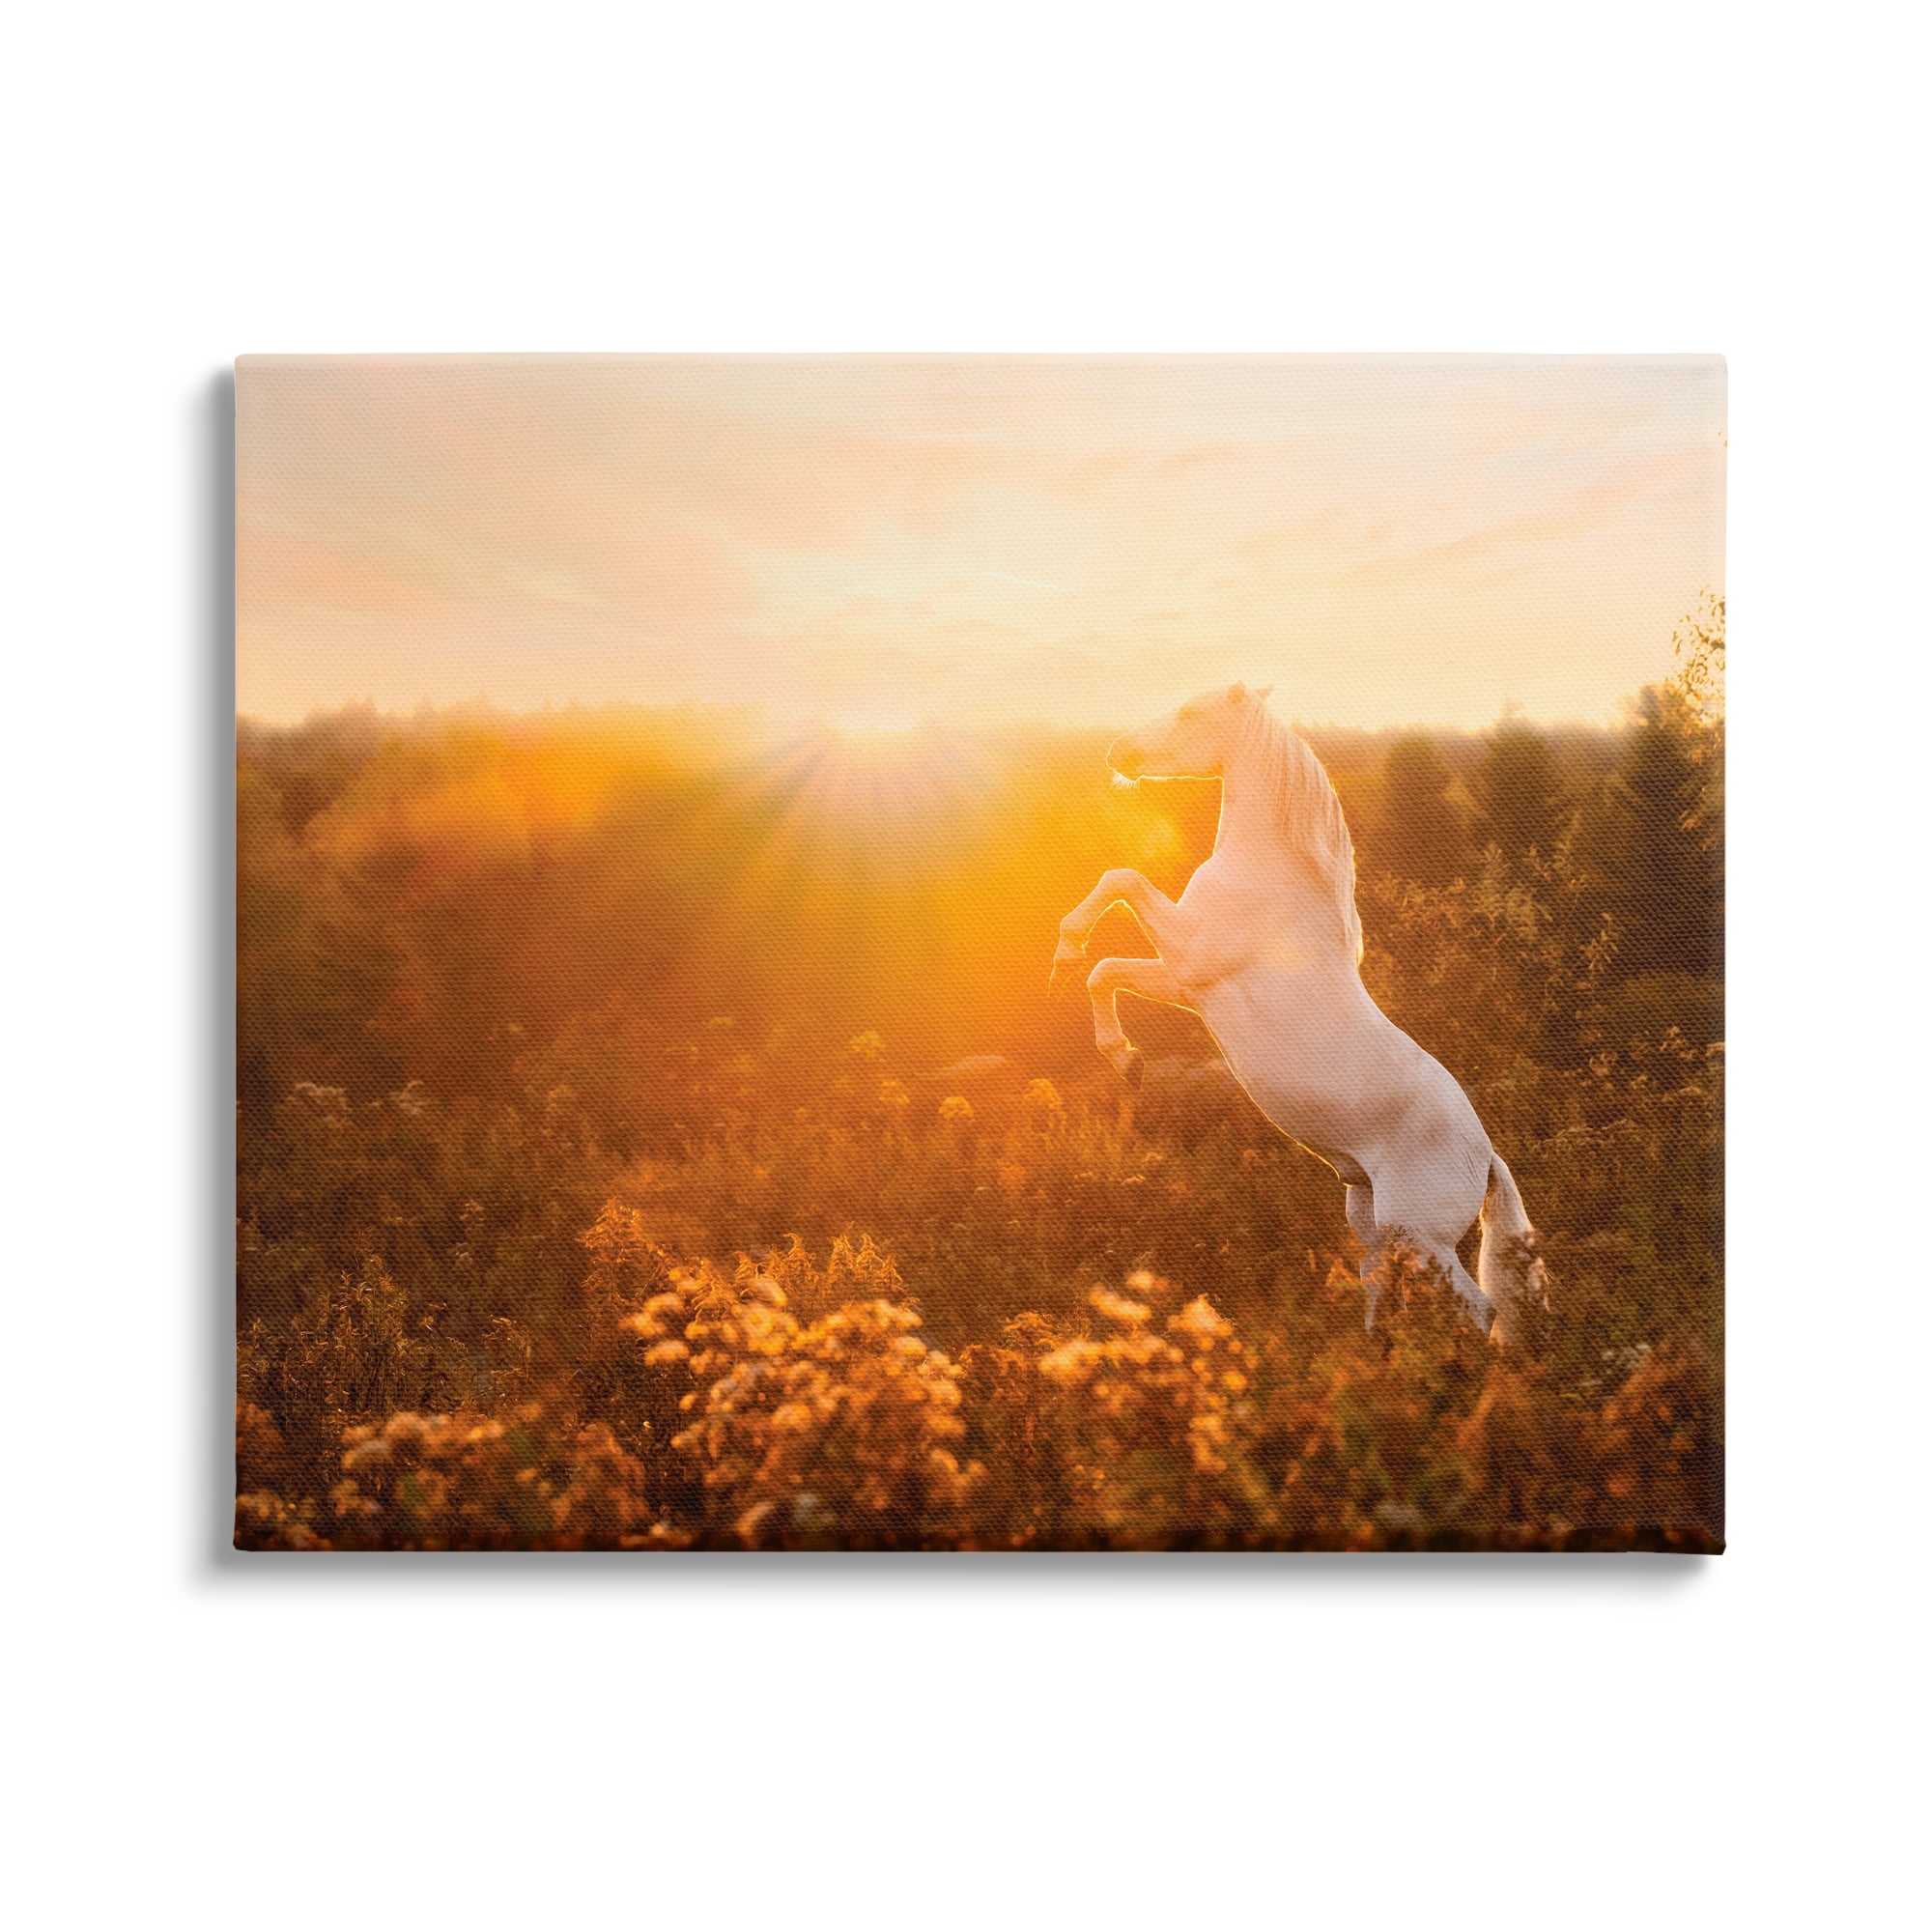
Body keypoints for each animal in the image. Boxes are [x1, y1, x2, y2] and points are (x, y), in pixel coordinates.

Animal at [1050, 681, 1547, 1345]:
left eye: (1192, 711)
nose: (1117, 752)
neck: (1271, 873)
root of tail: (1485, 1154)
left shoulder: (1187, 962)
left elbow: (1117, 896)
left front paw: (1104, 1023)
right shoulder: (1182, 983)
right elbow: (1105, 964)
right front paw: (1123, 1055)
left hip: (1423, 1238)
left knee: (1478, 1308)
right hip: (1373, 1221)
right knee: (1380, 1284)